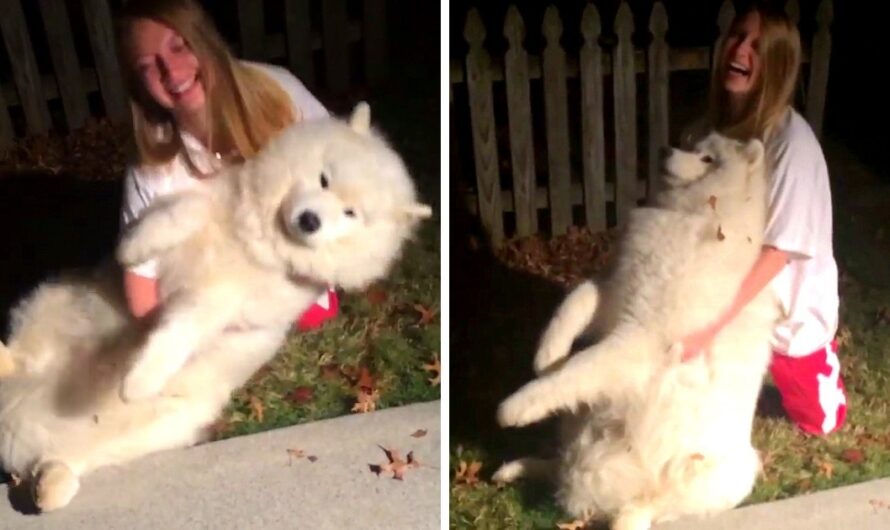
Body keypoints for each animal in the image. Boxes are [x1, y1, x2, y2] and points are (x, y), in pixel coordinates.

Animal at [0, 101, 426, 510]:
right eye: (324, 179)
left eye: (351, 214)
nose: (309, 220)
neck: (260, 242)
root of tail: (21, 418)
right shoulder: (208, 204)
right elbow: (179, 213)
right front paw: (132, 248)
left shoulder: (216, 303)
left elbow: (177, 334)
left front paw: (140, 379)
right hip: (55, 308)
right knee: (22, 355)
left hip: (162, 426)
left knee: (61, 463)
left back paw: (49, 484)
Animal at [492, 132, 776, 528]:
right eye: (692, 142)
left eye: (707, 158)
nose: (664, 148)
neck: (692, 217)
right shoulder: (613, 294)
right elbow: (573, 303)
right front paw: (548, 355)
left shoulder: (640, 339)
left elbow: (577, 369)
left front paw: (516, 407)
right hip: (577, 427)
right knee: (559, 466)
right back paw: (515, 469)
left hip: (706, 476)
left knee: (646, 507)